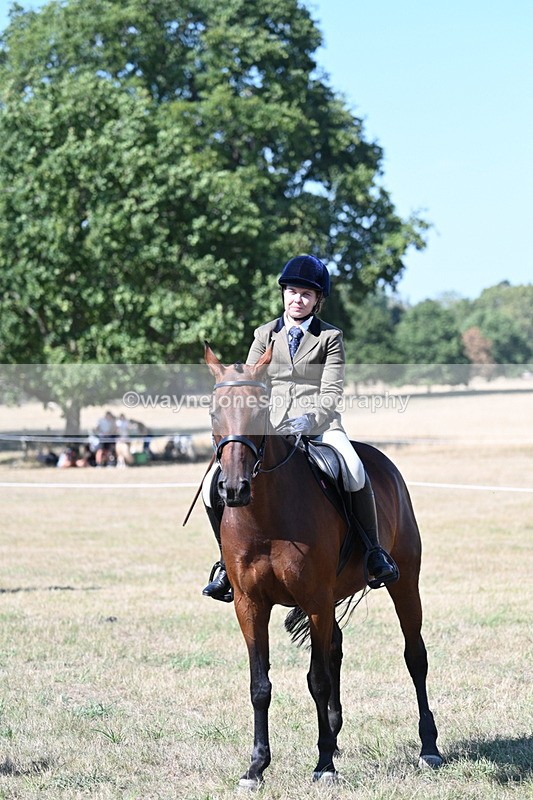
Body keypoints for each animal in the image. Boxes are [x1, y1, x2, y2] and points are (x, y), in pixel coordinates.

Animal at [205, 344, 442, 788]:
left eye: (260, 411)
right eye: (214, 412)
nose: (233, 489)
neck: (265, 516)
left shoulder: (315, 600)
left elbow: (317, 679)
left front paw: (324, 765)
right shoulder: (249, 604)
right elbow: (260, 685)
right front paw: (256, 767)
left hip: (404, 583)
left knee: (414, 656)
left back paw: (429, 747)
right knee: (336, 650)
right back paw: (333, 733)